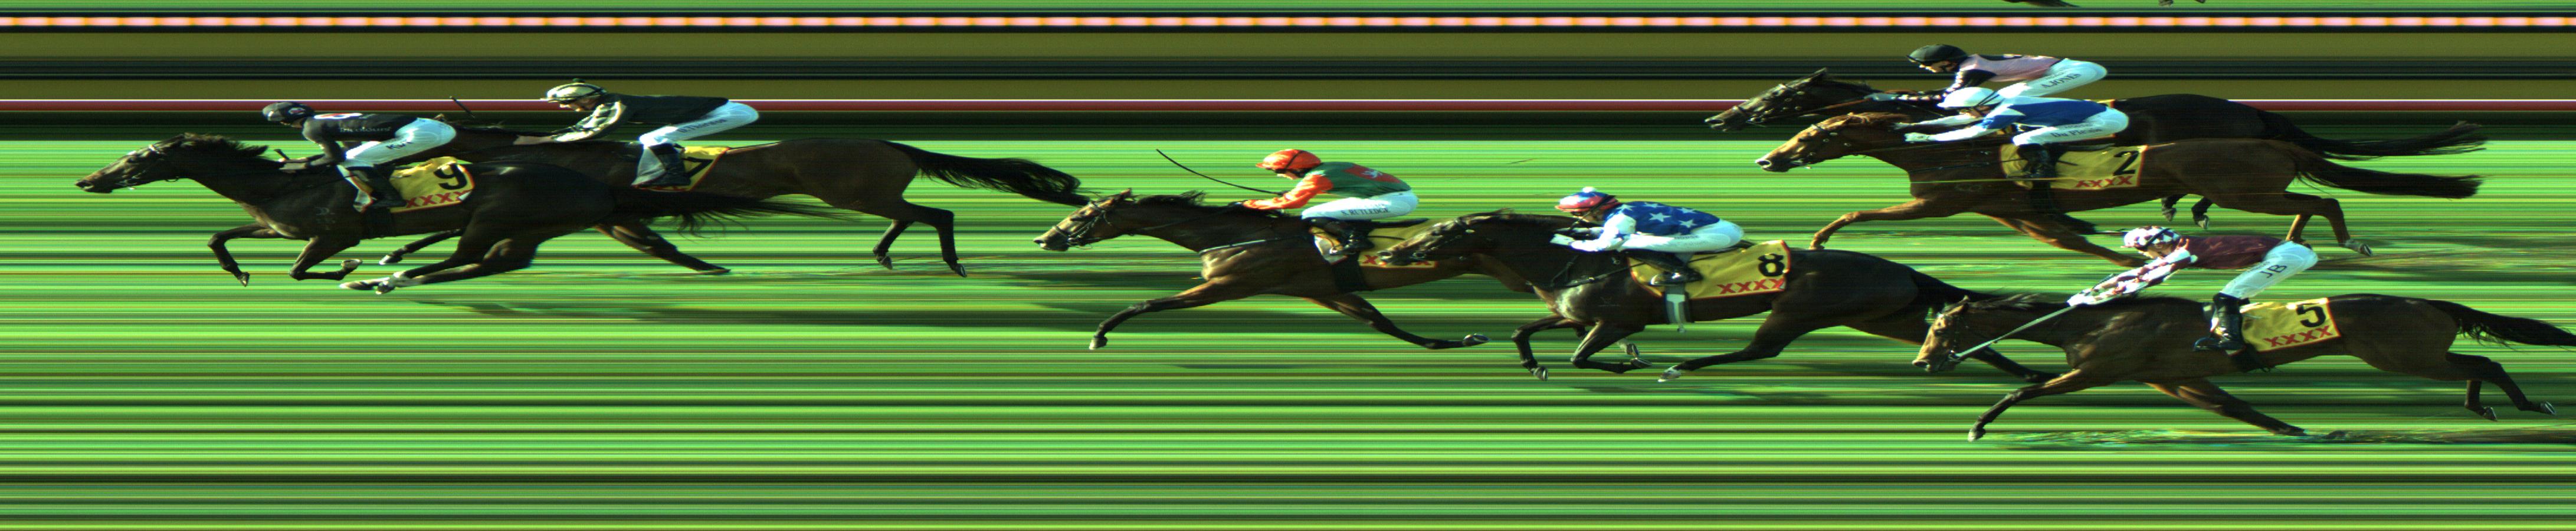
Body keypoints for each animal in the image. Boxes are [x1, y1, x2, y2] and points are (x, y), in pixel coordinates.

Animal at [1031, 190, 1501, 351]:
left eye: (1079, 216)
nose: (1044, 239)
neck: (1241, 235)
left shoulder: (1227, 285)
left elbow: (1148, 303)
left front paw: (1099, 335)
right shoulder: (1323, 290)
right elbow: (1379, 322)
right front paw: (1450, 341)